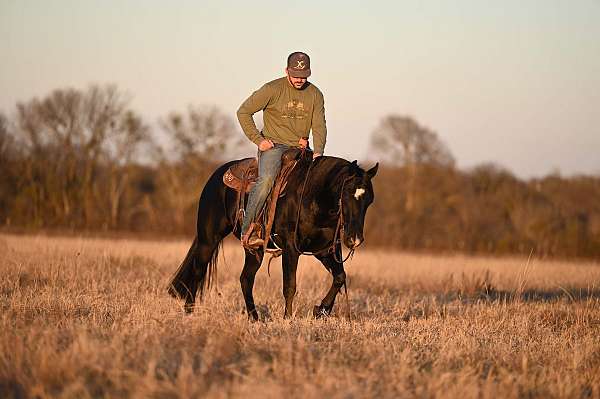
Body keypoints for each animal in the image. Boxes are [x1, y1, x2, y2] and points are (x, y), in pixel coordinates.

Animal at [166, 152, 378, 320]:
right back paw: (189, 312)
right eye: (348, 193)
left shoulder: (324, 250)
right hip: (208, 239)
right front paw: (287, 319)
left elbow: (340, 277)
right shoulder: (291, 249)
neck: (312, 198)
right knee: (197, 271)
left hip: (254, 250)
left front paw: (321, 310)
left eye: (369, 200)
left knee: (245, 279)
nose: (355, 239)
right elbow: (290, 285)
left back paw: (255, 319)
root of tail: (217, 176)